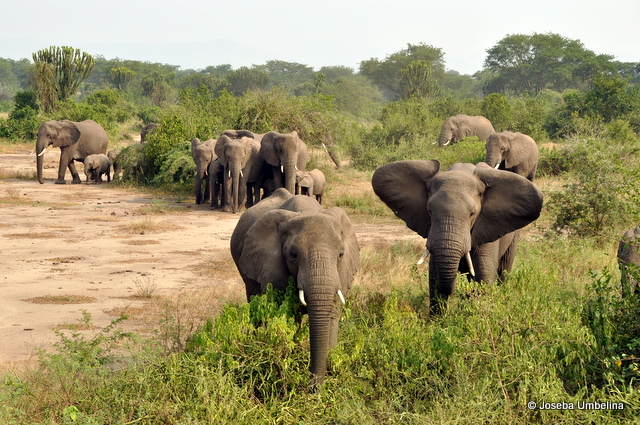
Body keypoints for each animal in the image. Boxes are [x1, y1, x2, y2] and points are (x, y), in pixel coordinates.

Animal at [372, 160, 543, 314]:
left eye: (472, 214)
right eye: (429, 211)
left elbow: (484, 277)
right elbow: (434, 278)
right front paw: (437, 324)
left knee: (503, 271)